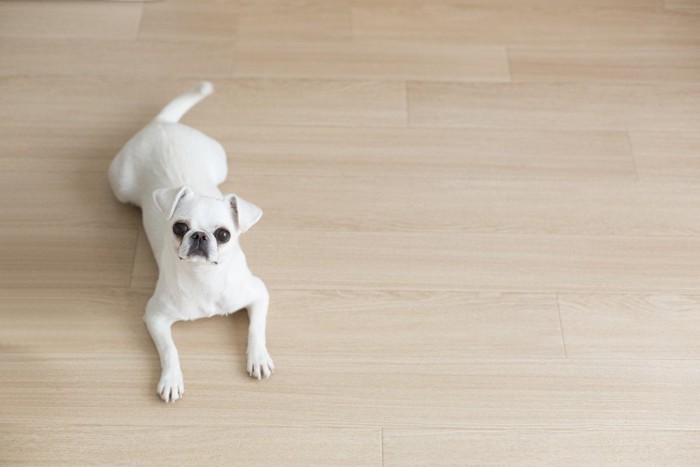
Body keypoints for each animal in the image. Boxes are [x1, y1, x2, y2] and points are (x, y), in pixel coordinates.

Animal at [108, 82, 274, 404]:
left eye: (224, 234)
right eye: (179, 227)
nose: (198, 235)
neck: (204, 279)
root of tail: (162, 123)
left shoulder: (258, 294)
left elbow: (255, 329)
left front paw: (258, 358)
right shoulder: (156, 317)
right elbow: (169, 350)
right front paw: (171, 379)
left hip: (220, 162)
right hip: (120, 186)